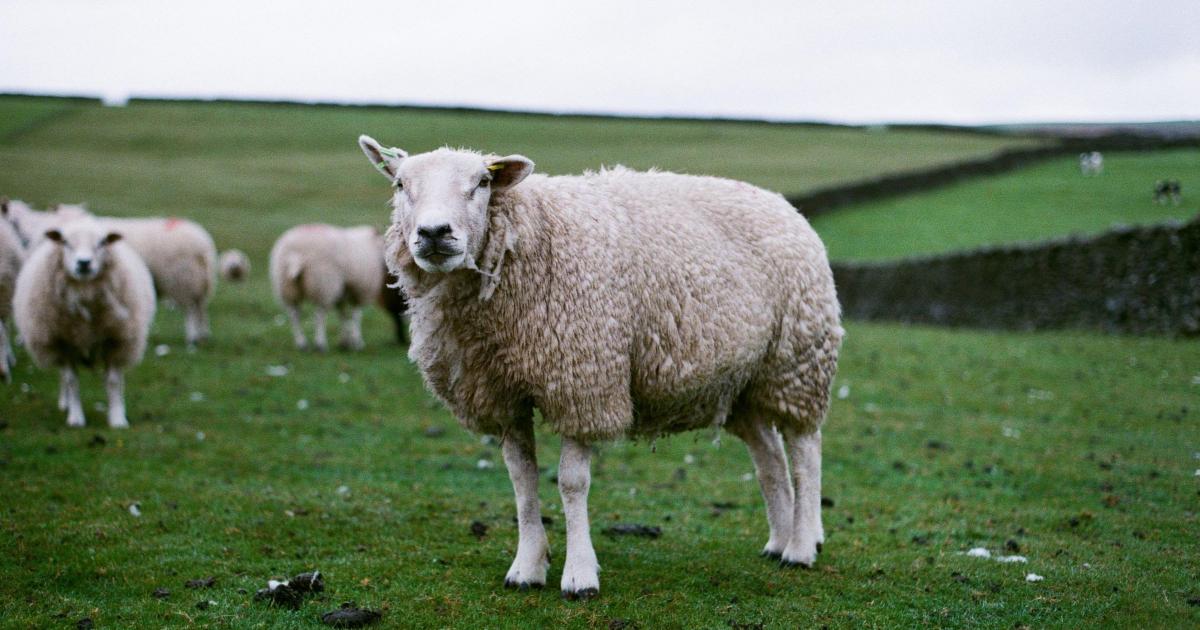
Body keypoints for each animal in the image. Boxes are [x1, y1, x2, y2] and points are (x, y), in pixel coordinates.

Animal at [5, 203, 217, 346]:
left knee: (191, 310)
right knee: (200, 308)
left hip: (183, 280)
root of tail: (204, 245)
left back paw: (192, 338)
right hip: (196, 281)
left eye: (13, 222)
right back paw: (203, 335)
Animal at [13, 215, 155, 428]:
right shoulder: (63, 342)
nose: (84, 263)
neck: (84, 291)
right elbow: (72, 380)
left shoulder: (115, 340)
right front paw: (76, 418)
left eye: (102, 242)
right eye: (65, 242)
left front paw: (117, 418)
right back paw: (65, 403)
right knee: (63, 377)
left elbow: (113, 381)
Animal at [358, 137, 843, 598]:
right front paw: (527, 567)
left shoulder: (582, 379)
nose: (434, 232)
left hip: (798, 362)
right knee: (770, 459)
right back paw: (778, 541)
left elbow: (572, 483)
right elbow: (521, 479)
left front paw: (579, 576)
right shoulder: (502, 394)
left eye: (482, 183)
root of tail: (783, 204)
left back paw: (801, 547)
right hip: (741, 382)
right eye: (399, 184)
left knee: (804, 451)